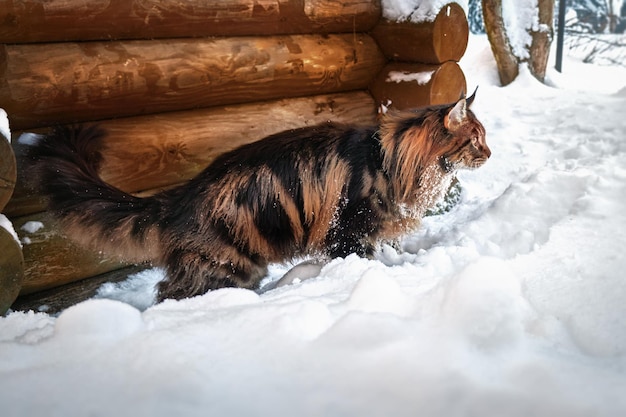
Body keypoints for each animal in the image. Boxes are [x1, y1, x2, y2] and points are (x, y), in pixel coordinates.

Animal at [28, 90, 488, 300]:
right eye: (475, 140)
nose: (489, 153)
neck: (390, 159)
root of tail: (179, 196)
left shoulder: (372, 230)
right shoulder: (349, 229)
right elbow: (359, 260)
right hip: (225, 267)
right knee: (171, 293)